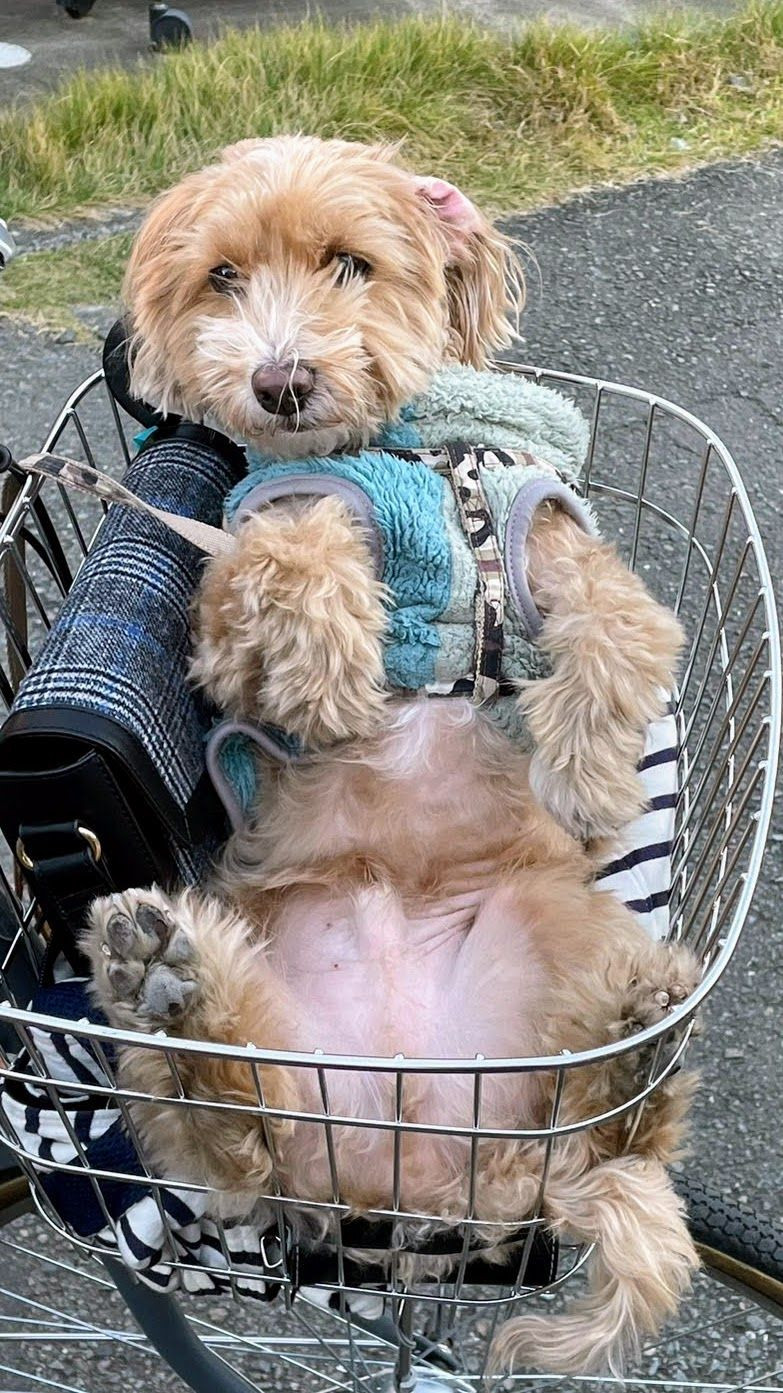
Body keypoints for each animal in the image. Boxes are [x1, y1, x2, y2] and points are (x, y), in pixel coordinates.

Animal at [83, 136, 700, 1376]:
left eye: (349, 263)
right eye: (223, 277)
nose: (279, 382)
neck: (411, 452)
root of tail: (407, 1178)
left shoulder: (557, 541)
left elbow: (617, 631)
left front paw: (590, 778)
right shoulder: (243, 589)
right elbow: (287, 552)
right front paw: (332, 655)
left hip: (540, 938)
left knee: (594, 1137)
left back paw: (629, 1049)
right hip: (285, 1031)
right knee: (233, 1151)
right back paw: (164, 994)